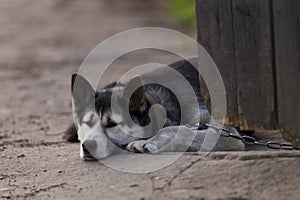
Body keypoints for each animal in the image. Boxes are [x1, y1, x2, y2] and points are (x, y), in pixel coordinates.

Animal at [63, 58, 244, 160]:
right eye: (86, 122)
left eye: (112, 124)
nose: (88, 146)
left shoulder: (229, 135)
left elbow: (175, 129)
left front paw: (149, 141)